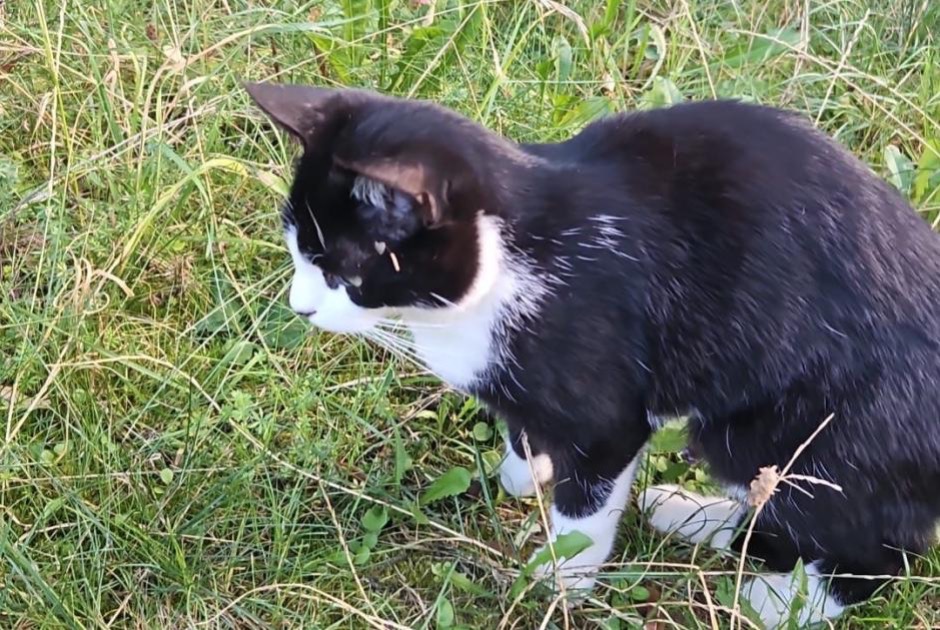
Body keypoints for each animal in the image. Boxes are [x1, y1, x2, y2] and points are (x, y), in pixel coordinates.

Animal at [246, 81, 940, 628]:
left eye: (342, 270)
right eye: (296, 247)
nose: (298, 307)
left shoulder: (603, 397)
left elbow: (589, 497)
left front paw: (560, 579)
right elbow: (528, 435)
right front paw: (527, 472)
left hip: (796, 424)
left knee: (877, 548)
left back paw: (777, 602)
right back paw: (699, 518)